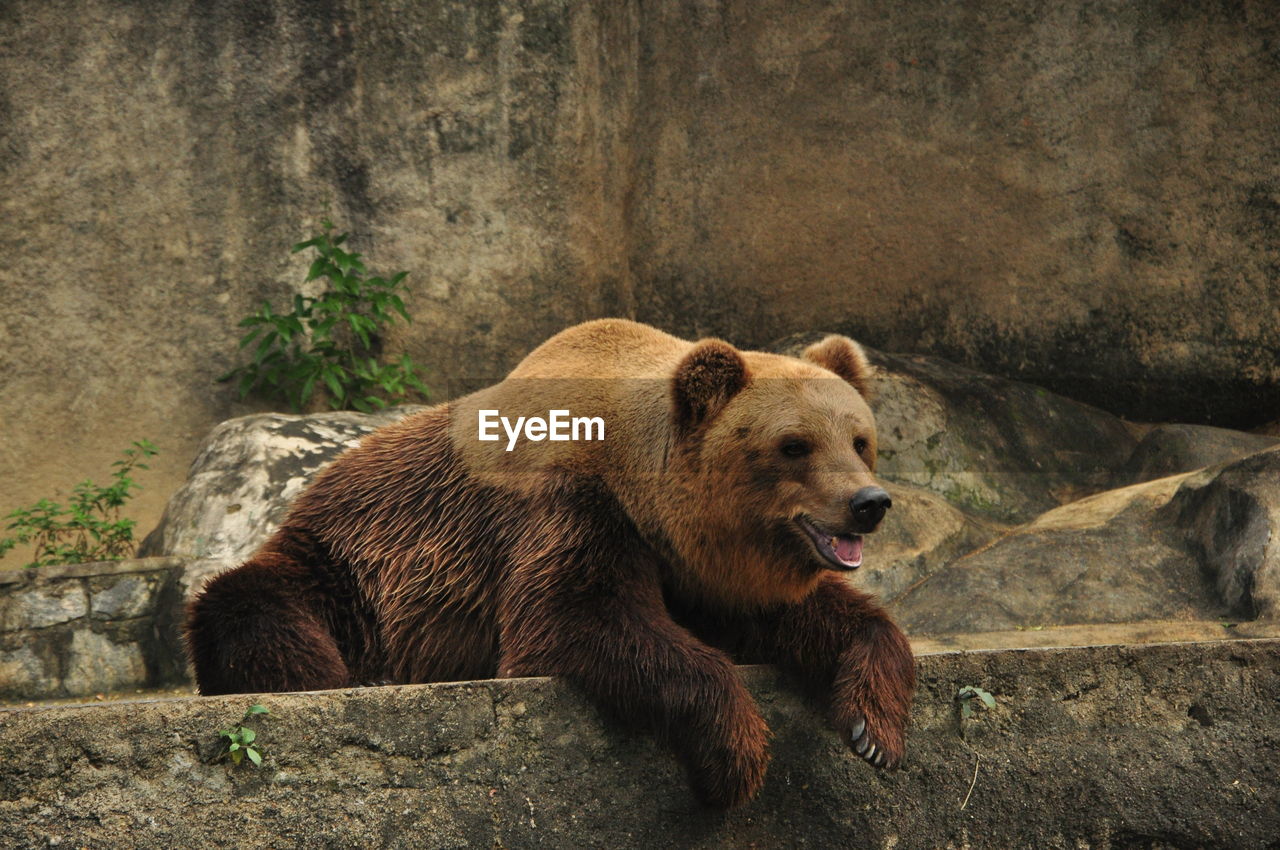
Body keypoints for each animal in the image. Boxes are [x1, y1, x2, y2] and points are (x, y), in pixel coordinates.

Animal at [186, 317, 911, 803]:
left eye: (858, 439)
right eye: (794, 445)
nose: (869, 503)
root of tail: (312, 490)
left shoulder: (701, 567)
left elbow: (810, 616)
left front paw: (874, 728)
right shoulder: (566, 507)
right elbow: (576, 620)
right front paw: (738, 753)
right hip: (341, 567)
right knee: (256, 613)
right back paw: (358, 678)